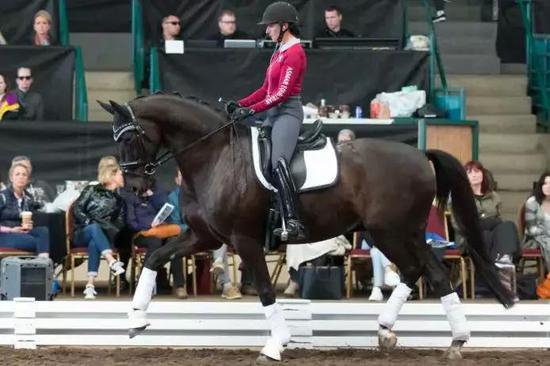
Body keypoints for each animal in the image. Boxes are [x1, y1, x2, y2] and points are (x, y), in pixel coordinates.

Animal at [100, 93, 516, 360]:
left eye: (131, 137)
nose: (134, 188)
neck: (215, 156)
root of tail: (419, 155)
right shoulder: (205, 236)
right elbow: (154, 258)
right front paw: (136, 321)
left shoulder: (243, 239)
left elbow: (266, 289)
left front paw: (275, 345)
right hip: (399, 232)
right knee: (424, 270)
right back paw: (402, 333)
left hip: (392, 231)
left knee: (427, 271)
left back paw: (450, 339)